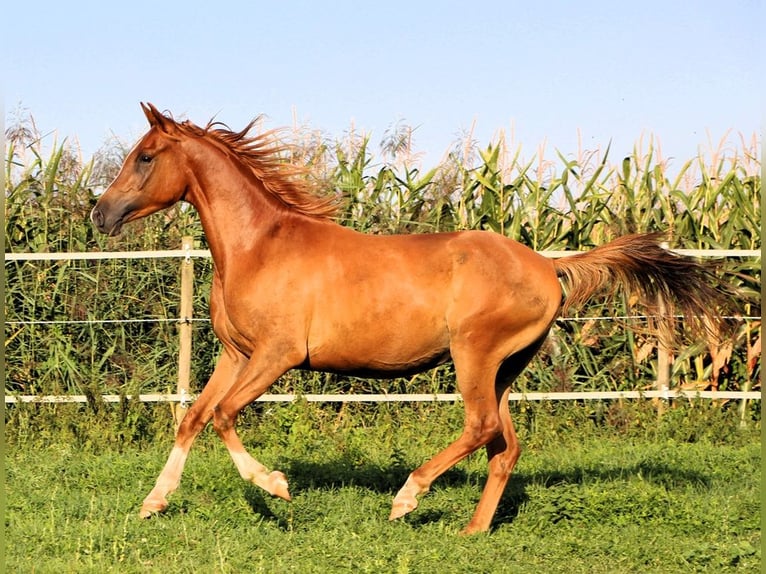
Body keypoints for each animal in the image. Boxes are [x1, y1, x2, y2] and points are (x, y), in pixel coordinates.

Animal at [91, 102, 732, 536]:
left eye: (145, 157)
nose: (100, 213)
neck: (259, 246)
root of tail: (550, 266)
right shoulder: (236, 353)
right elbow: (192, 418)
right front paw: (152, 503)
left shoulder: (278, 354)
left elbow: (223, 415)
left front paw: (277, 487)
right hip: (504, 367)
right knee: (505, 445)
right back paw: (473, 531)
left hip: (474, 355)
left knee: (480, 428)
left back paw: (407, 499)